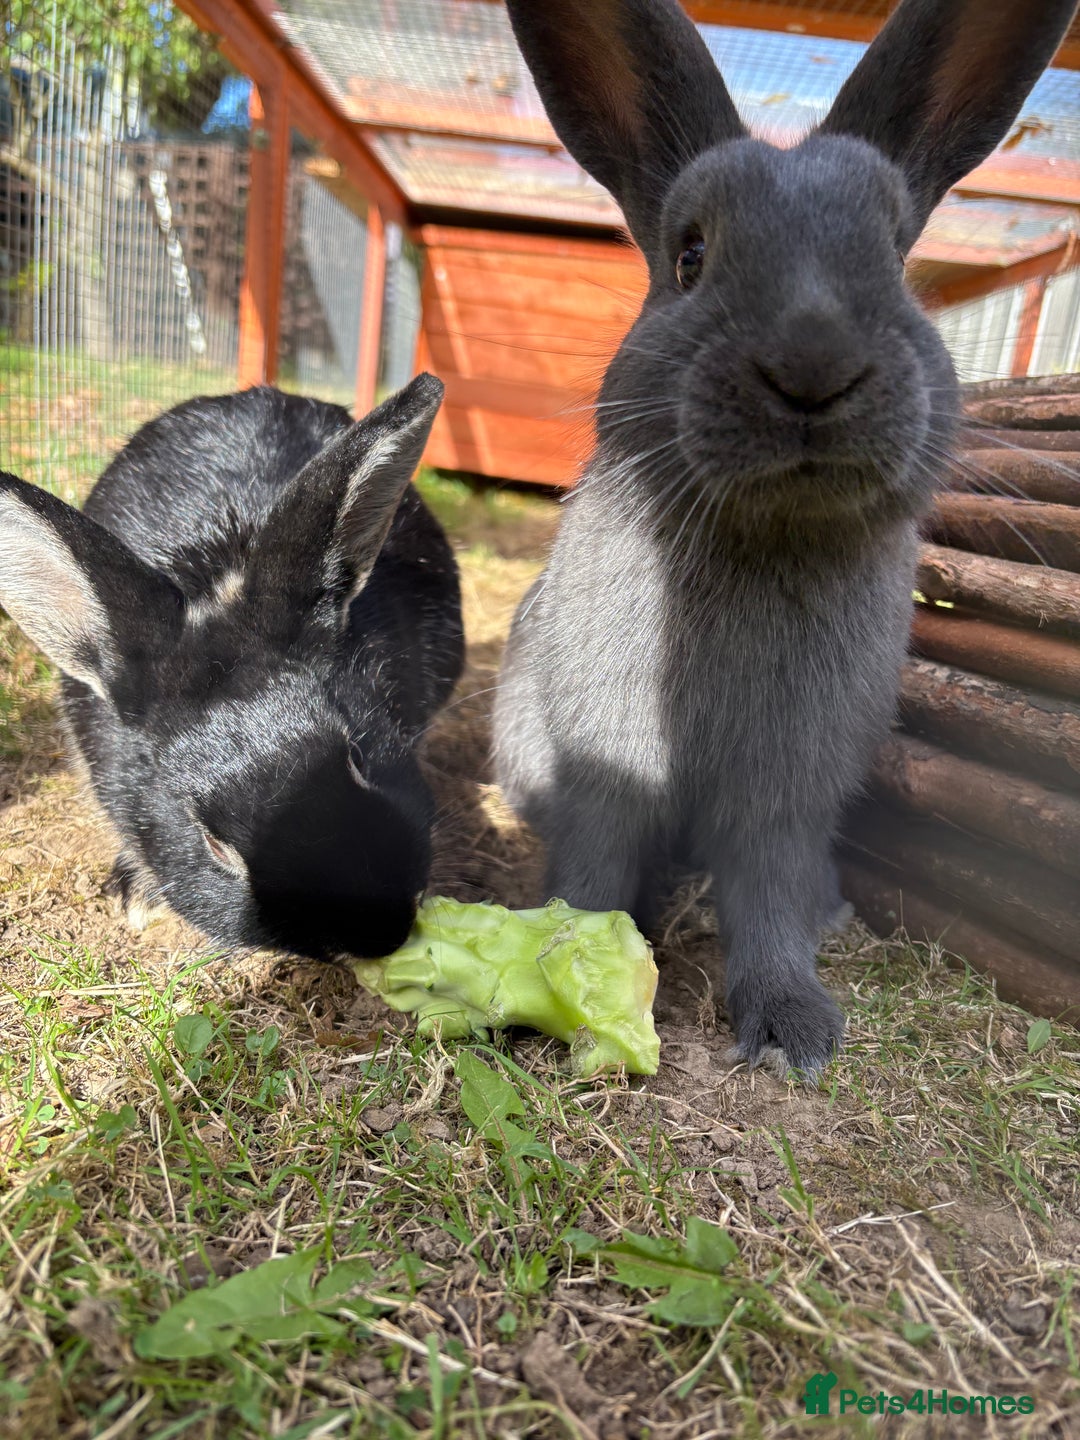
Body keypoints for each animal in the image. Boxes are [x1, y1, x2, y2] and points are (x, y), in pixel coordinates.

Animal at [494, 0, 1078, 1077]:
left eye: (897, 260)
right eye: (690, 256)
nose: (814, 365)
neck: (768, 536)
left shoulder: (784, 796)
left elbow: (766, 895)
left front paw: (792, 1028)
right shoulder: (602, 769)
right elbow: (593, 868)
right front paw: (551, 978)